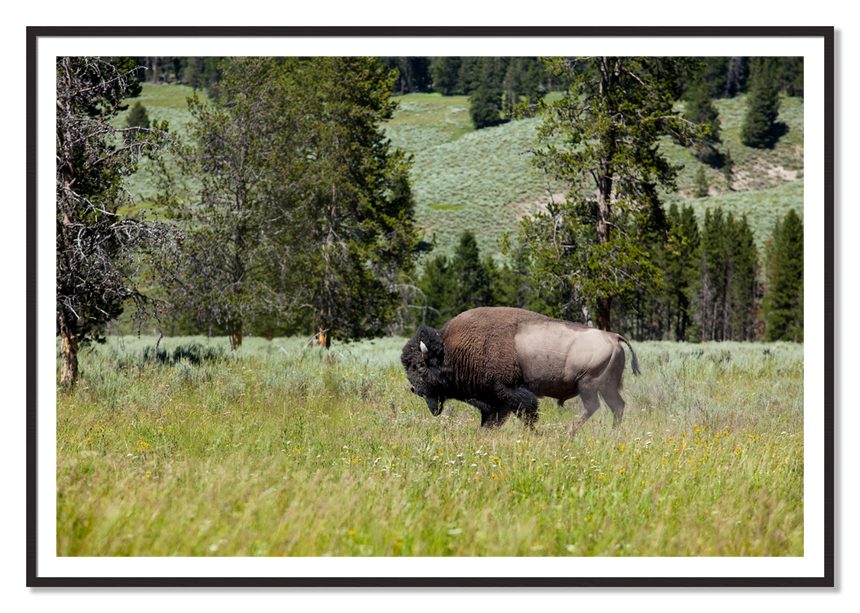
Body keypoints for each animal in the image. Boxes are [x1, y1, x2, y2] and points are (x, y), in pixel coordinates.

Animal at [401, 307, 639, 433]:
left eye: (419, 366)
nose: (414, 389)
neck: (450, 350)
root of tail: (613, 336)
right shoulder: (495, 401)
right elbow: (493, 419)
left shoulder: (509, 392)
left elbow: (527, 412)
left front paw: (533, 433)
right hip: (606, 387)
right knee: (617, 406)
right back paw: (611, 433)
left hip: (589, 385)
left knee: (594, 407)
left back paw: (569, 432)